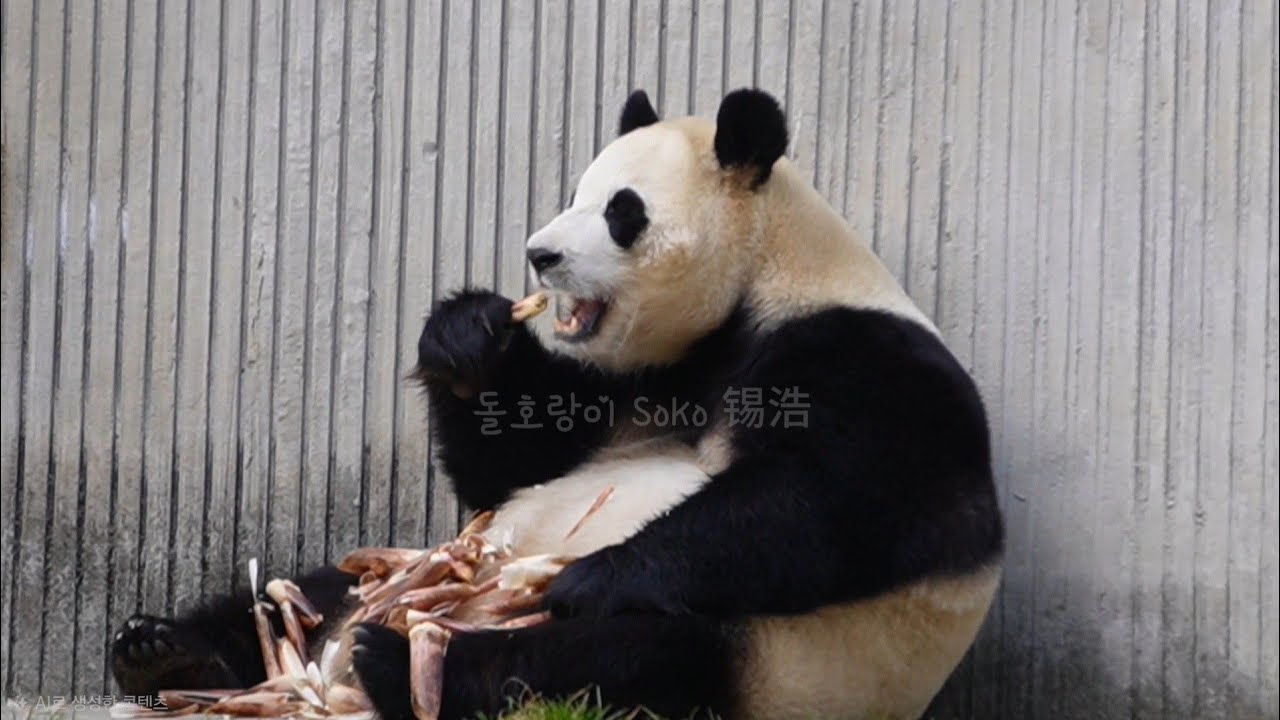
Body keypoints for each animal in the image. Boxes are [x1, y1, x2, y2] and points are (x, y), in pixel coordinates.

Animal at [110, 88, 1003, 720]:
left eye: (622, 210)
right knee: (300, 586)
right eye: (575, 188)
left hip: (781, 662)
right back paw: (171, 650)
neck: (756, 287)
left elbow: (837, 503)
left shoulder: (865, 357)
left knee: (620, 659)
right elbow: (512, 462)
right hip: (415, 563)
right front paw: (467, 336)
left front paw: (592, 577)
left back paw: (404, 666)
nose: (540, 255)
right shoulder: (638, 379)